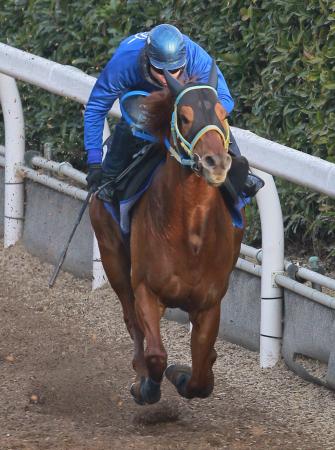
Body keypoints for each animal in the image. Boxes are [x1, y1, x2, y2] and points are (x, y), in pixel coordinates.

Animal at [89, 61, 245, 406]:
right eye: (184, 117)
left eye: (223, 114)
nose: (215, 163)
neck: (192, 235)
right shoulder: (147, 289)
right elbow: (157, 355)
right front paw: (147, 385)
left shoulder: (209, 304)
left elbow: (199, 377)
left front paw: (189, 372)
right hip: (112, 256)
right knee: (131, 318)